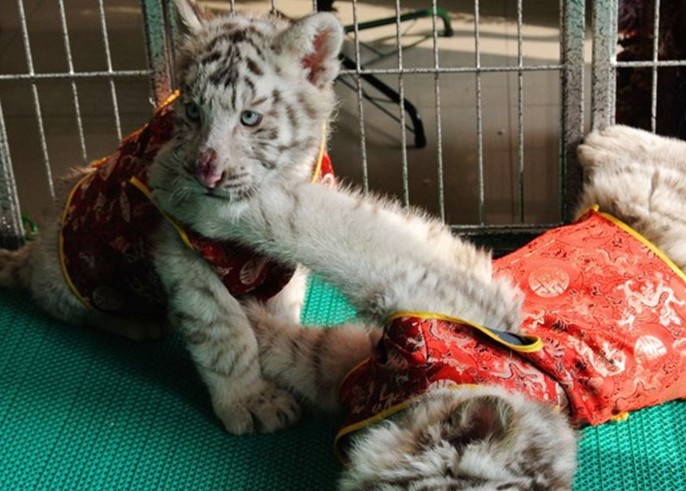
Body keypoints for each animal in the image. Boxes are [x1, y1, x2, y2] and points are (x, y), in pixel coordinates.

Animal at [0, 0, 343, 436]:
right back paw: (139, 323)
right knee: (63, 304)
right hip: (76, 280)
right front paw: (250, 401)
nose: (205, 172)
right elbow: (224, 333)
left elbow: (281, 315)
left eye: (249, 118)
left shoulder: (284, 266)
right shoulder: (180, 255)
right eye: (193, 111)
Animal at [211, 125, 686, 490]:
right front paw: (208, 208)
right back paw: (599, 140)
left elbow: (295, 349)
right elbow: (317, 229)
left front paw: (247, 317)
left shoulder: (348, 365)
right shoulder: (427, 289)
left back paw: (602, 139)